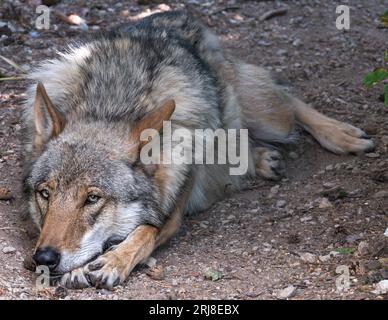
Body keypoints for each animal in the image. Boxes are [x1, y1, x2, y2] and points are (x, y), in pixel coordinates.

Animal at [22, 11, 376, 288]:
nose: (45, 258)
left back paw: (343, 135)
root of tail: (180, 14)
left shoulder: (173, 211)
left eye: (93, 199)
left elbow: (144, 231)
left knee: (287, 97)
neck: (113, 106)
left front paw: (112, 261)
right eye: (45, 194)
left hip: (272, 117)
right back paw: (260, 159)